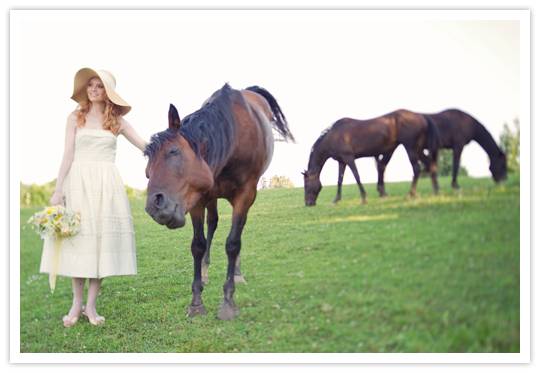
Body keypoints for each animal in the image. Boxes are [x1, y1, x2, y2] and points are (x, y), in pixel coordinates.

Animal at [143, 84, 294, 320]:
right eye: (148, 166)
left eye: (174, 151)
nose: (154, 206)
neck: (232, 139)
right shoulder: (197, 197)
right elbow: (198, 244)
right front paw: (196, 302)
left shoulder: (245, 195)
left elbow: (233, 243)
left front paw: (228, 302)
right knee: (212, 224)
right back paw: (205, 271)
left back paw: (238, 273)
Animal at [302, 107, 440, 206]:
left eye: (306, 185)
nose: (308, 203)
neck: (334, 136)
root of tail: (422, 116)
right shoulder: (342, 161)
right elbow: (340, 180)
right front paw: (336, 200)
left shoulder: (349, 158)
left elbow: (357, 176)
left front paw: (364, 198)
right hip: (418, 149)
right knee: (431, 165)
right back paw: (435, 192)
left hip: (410, 148)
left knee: (417, 168)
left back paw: (411, 194)